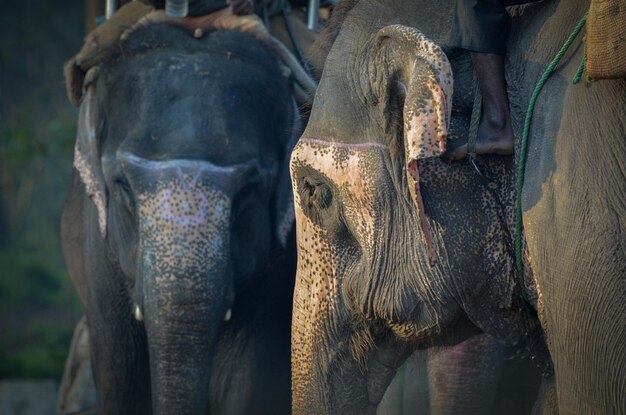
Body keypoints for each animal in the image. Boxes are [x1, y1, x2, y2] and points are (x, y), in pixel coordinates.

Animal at [59, 17, 300, 415]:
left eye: (249, 189)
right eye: (123, 185)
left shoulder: (281, 257)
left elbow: (246, 386)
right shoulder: (101, 249)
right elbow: (122, 384)